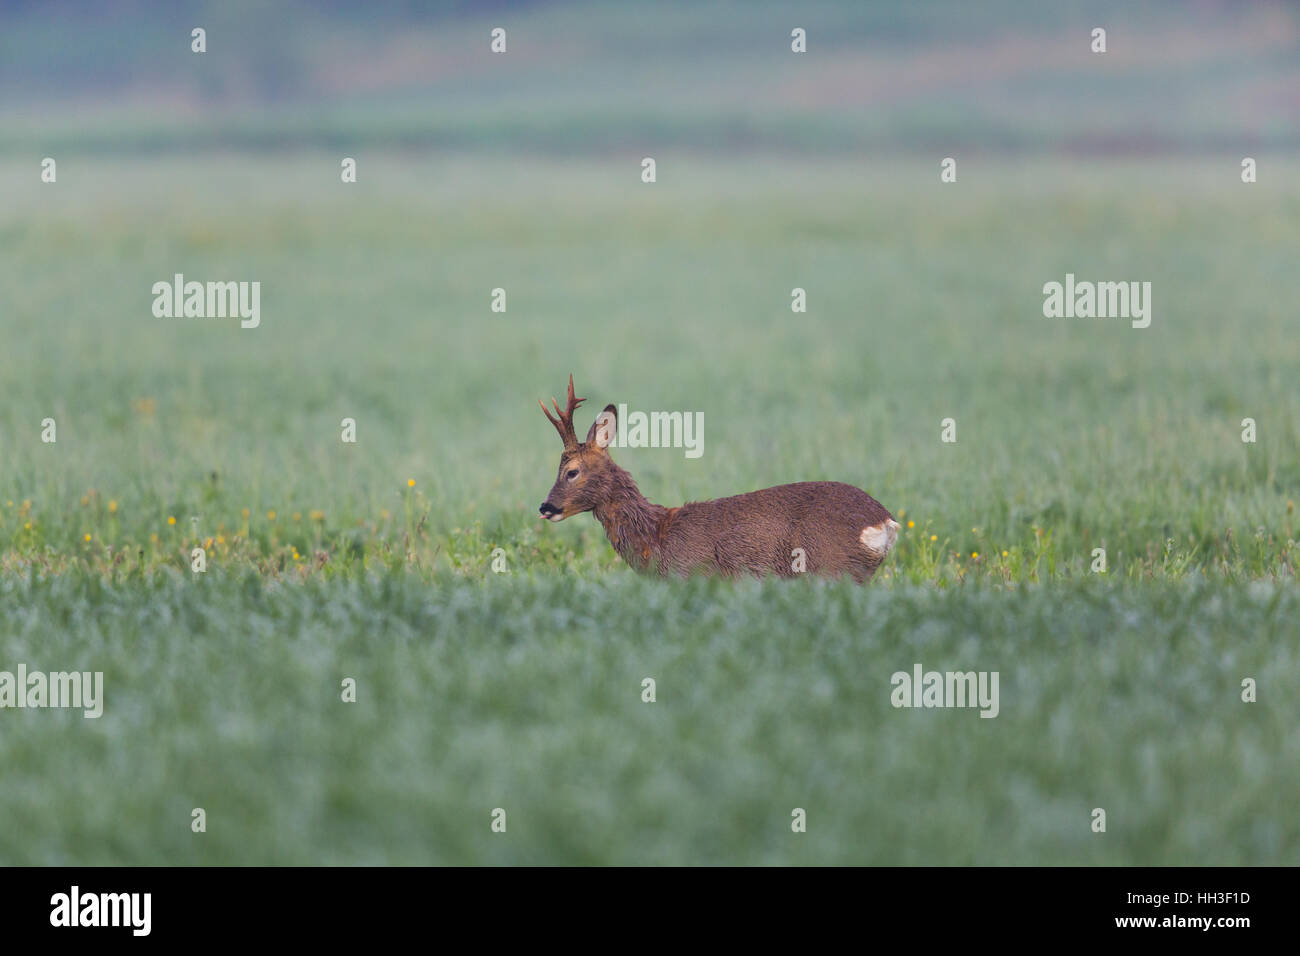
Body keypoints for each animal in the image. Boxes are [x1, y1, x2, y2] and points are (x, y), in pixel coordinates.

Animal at [535, 374, 894, 582]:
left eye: (571, 471)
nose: (545, 507)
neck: (657, 538)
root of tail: (884, 521)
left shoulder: (695, 577)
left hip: (831, 567)